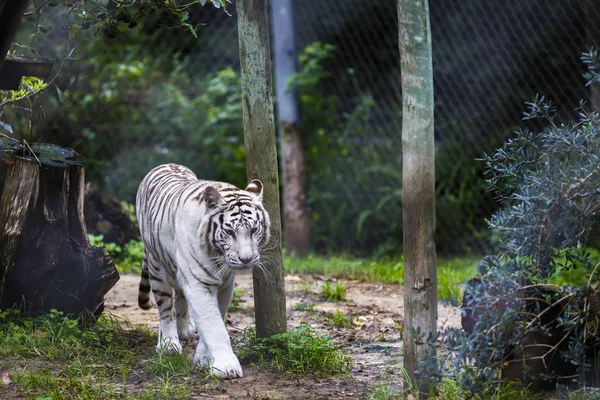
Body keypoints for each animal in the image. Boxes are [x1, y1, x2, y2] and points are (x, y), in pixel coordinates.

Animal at [137, 162, 270, 378]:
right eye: (229, 231)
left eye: (253, 230)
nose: (246, 259)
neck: (218, 258)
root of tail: (167, 163)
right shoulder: (199, 283)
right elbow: (214, 325)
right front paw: (226, 367)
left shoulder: (225, 285)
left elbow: (217, 318)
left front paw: (203, 358)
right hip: (157, 268)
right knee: (165, 308)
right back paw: (168, 344)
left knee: (180, 297)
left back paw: (184, 329)